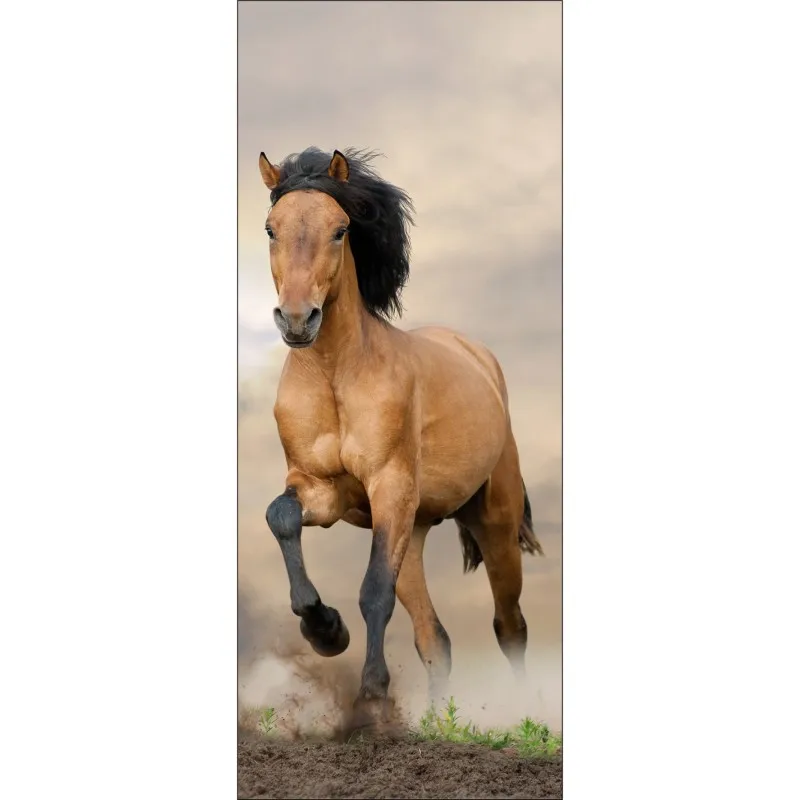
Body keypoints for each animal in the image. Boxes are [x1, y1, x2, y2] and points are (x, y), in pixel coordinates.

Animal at [258, 146, 543, 723]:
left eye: (341, 229)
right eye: (271, 228)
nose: (297, 320)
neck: (336, 376)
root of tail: (479, 356)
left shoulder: (389, 485)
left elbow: (373, 593)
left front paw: (371, 694)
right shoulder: (321, 491)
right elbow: (281, 517)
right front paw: (324, 629)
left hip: (493, 522)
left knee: (509, 626)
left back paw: (520, 710)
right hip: (412, 532)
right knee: (436, 639)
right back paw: (432, 721)